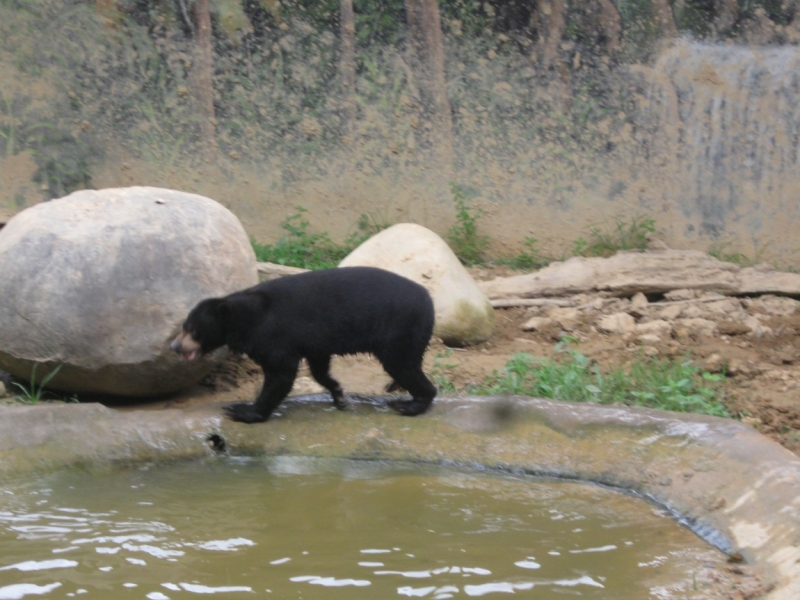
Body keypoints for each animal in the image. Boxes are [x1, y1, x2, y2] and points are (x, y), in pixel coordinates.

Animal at [170, 264, 438, 424]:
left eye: (191, 329)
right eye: (184, 327)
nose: (174, 346)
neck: (246, 317)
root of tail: (429, 299)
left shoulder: (274, 335)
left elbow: (281, 373)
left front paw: (243, 410)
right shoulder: (314, 339)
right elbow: (318, 366)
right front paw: (339, 394)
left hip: (401, 328)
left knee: (402, 365)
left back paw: (411, 404)